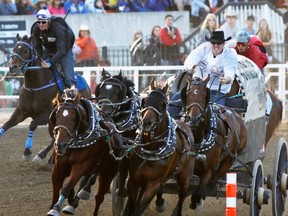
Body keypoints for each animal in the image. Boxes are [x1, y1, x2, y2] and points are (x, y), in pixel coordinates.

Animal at [46, 88, 124, 216]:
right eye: (56, 116)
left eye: (74, 118)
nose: (60, 145)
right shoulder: (58, 167)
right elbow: (57, 191)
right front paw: (57, 204)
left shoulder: (81, 166)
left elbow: (67, 187)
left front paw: (56, 208)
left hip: (107, 174)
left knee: (99, 197)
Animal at [124, 79, 196, 216]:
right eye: (144, 101)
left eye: (163, 104)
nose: (146, 122)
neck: (151, 151)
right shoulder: (133, 181)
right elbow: (132, 207)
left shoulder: (153, 184)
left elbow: (138, 210)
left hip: (185, 177)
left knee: (182, 195)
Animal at [182, 76, 248, 209]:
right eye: (187, 93)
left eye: (204, 95)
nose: (193, 119)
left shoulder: (208, 170)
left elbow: (196, 193)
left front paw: (196, 202)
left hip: (229, 160)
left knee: (214, 180)